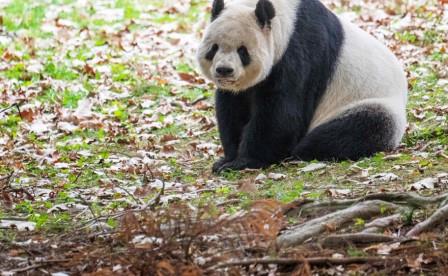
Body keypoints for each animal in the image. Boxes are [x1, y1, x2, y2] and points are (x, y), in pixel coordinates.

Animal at [196, 0, 406, 172]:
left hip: (370, 103)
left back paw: (302, 150)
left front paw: (245, 161)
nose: (224, 70)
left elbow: (281, 114)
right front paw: (227, 160)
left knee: (357, 129)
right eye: (214, 48)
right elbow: (233, 109)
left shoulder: (298, 54)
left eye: (242, 51)